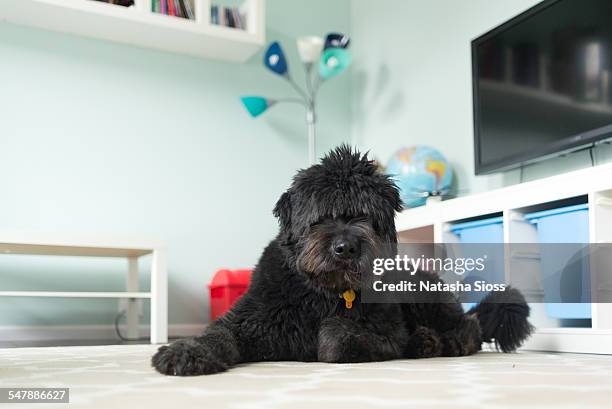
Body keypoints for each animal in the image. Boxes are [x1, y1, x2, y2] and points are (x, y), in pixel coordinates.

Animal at [152, 145, 532, 374]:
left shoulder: (386, 331)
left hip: (423, 296)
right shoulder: (247, 320)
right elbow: (217, 334)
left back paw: (438, 341)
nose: (346, 247)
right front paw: (185, 352)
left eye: (365, 216)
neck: (321, 293)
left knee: (471, 327)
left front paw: (326, 337)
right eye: (321, 215)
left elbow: (338, 336)